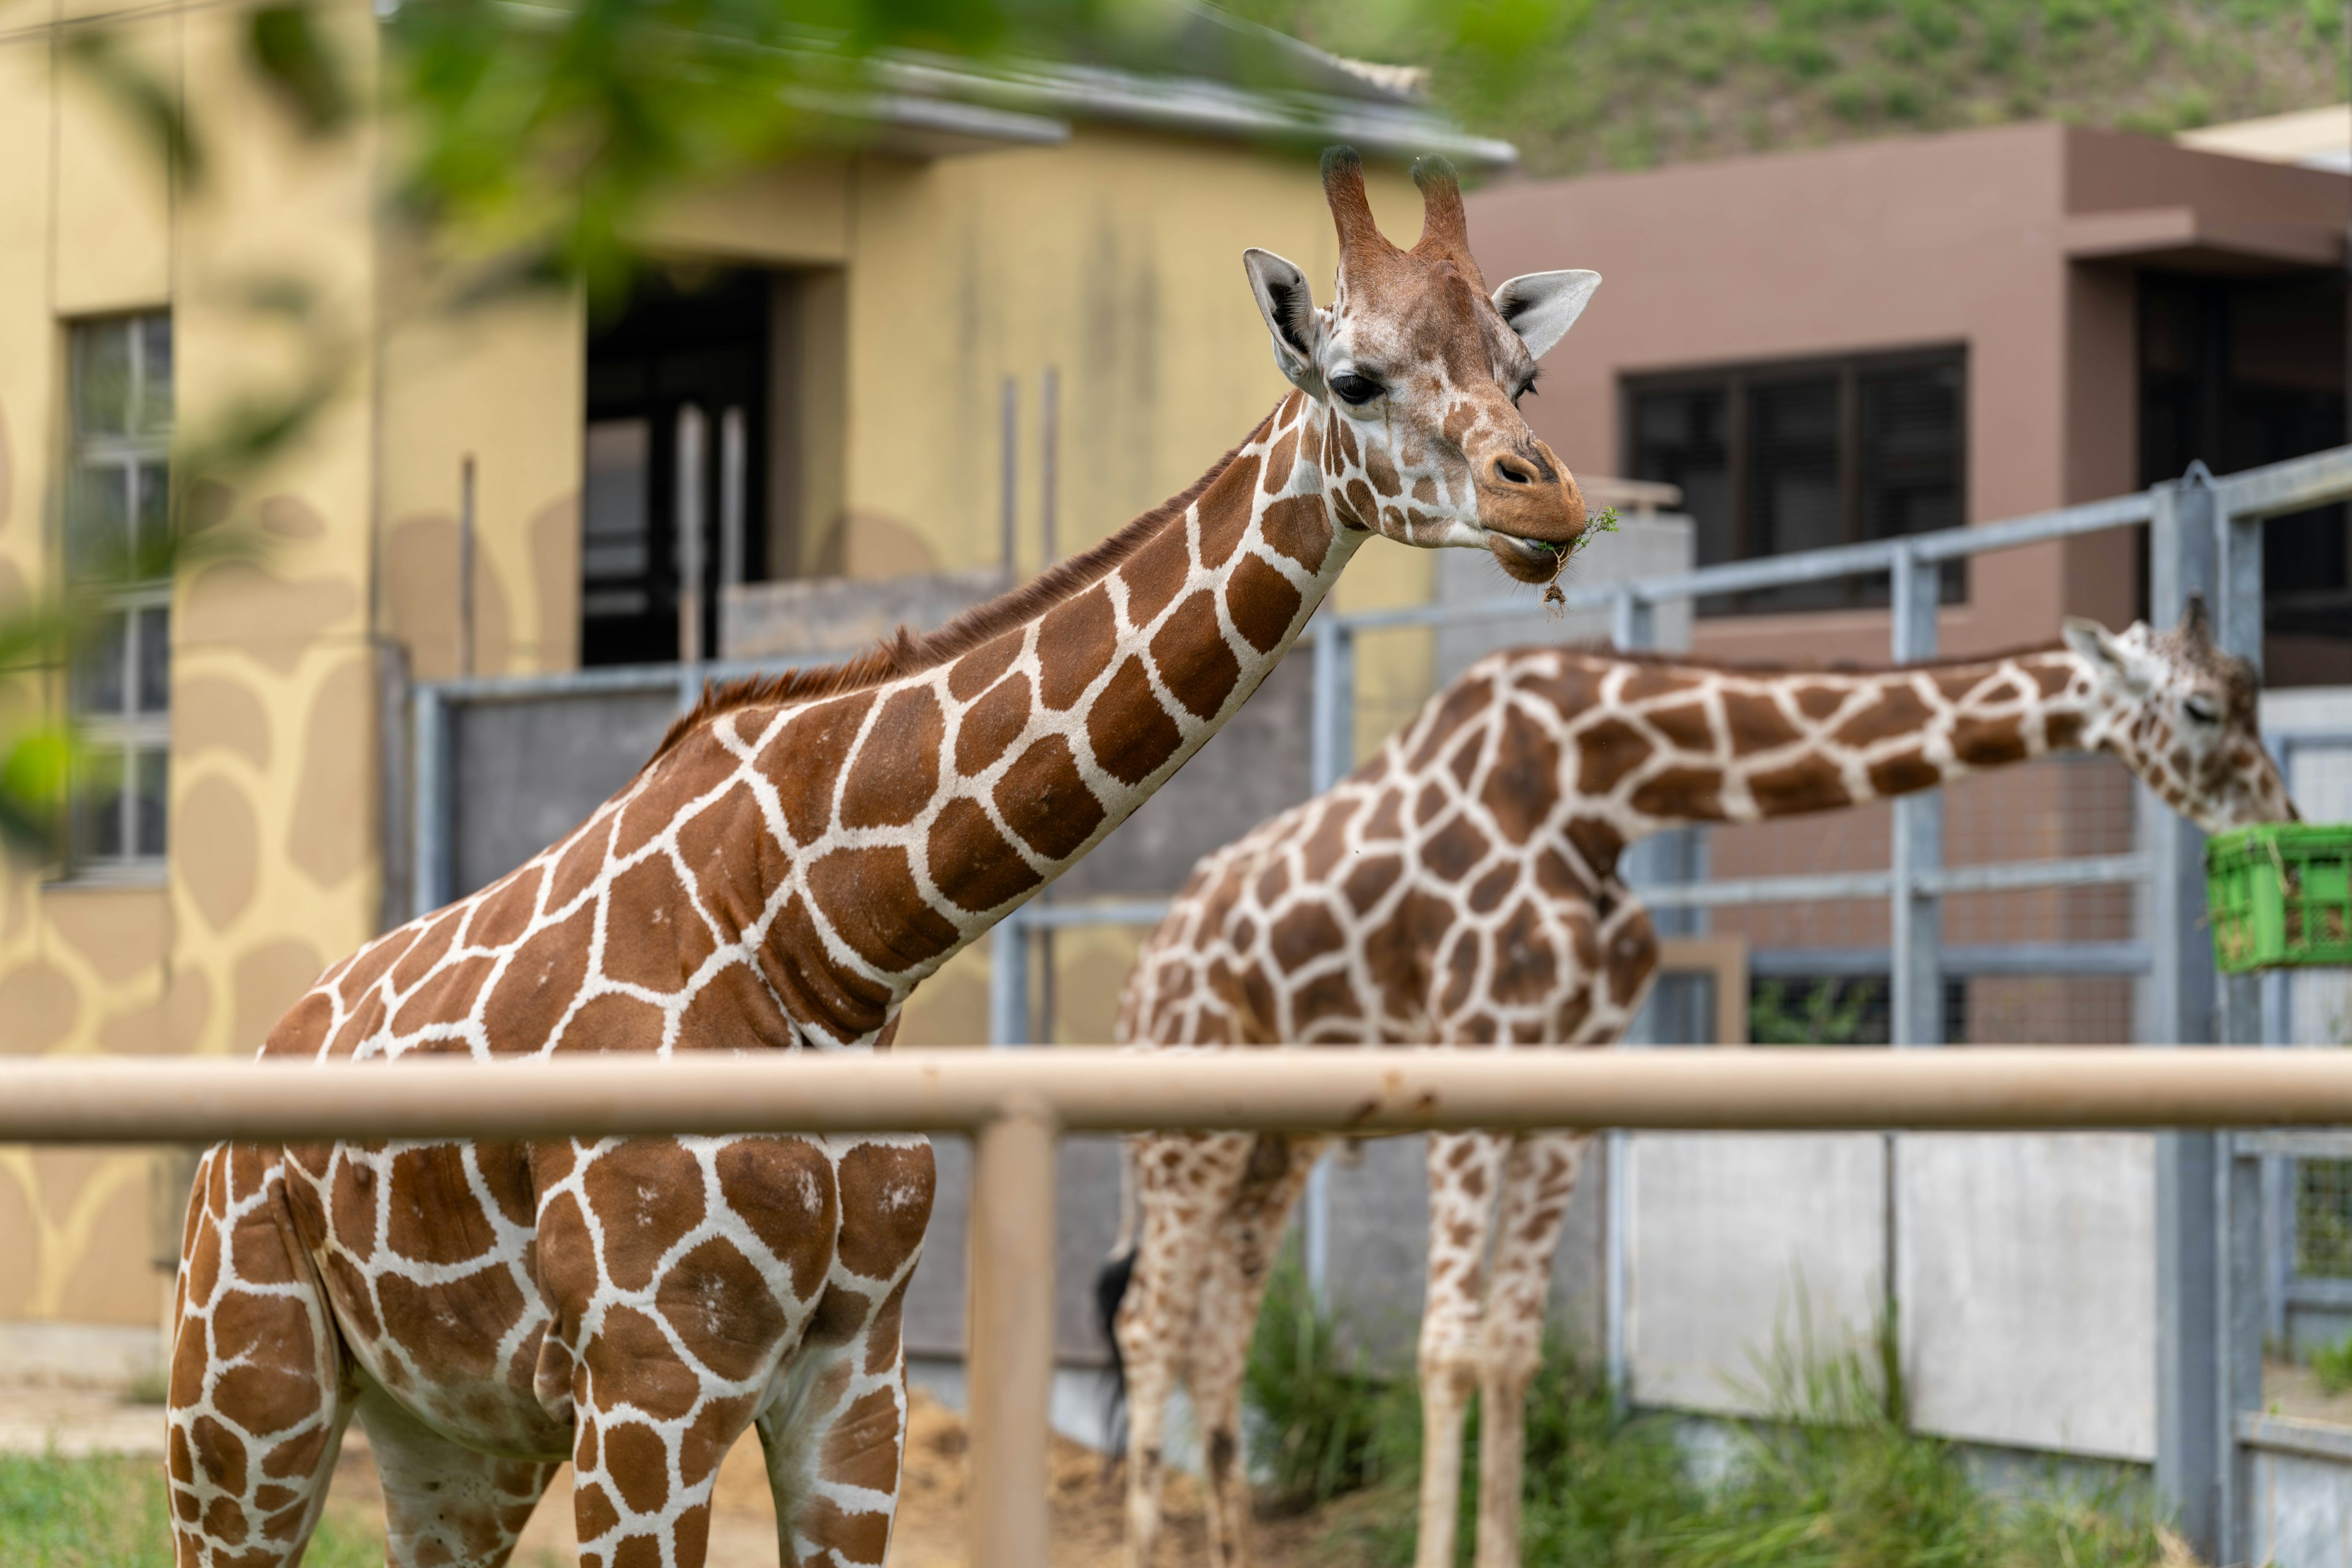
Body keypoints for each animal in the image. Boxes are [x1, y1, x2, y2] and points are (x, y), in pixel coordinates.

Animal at [161, 150, 1599, 1568]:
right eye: (1354, 378)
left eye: (1522, 374)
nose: (1550, 494)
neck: (830, 946)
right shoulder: (651, 1380)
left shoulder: (859, 1377)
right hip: (245, 1392)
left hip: (454, 1437)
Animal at [1101, 597, 2295, 1568]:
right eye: (2200, 709)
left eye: (2254, 690)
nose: (2281, 829)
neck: (1602, 793)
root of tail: (1135, 984)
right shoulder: (1475, 1051)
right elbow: (1444, 1350)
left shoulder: (1564, 1089)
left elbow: (1512, 1351)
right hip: (1186, 1137)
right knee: (1150, 1326)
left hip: (1275, 1143)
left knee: (1219, 1334)